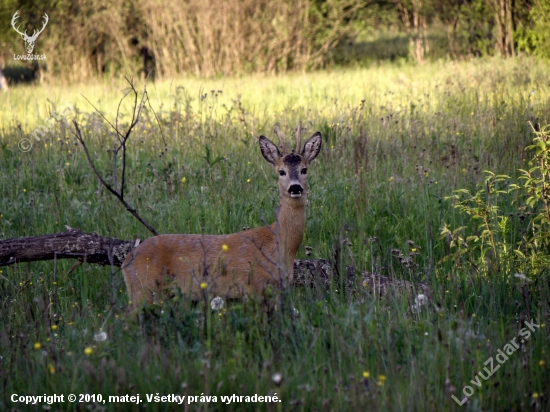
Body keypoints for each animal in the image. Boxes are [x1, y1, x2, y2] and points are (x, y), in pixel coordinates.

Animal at [124, 130, 324, 308]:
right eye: (281, 172)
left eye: (304, 169)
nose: (295, 188)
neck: (279, 244)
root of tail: (127, 260)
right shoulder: (254, 286)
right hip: (142, 289)